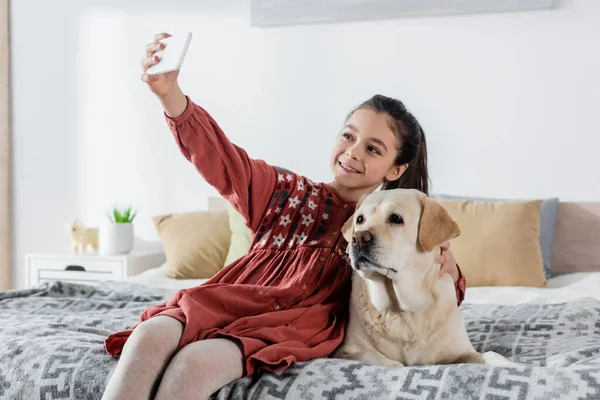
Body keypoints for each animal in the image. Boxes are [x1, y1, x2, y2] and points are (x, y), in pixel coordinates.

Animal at [332, 189, 516, 368]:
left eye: (395, 218)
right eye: (360, 219)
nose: (358, 238)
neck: (404, 309)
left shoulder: (461, 351)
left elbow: (489, 354)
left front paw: (514, 365)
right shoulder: (347, 351)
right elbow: (391, 364)